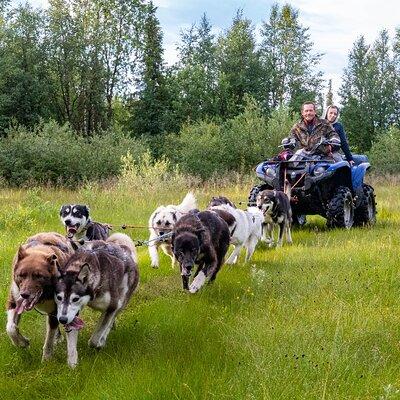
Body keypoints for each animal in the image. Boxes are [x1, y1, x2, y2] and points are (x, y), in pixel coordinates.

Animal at [5, 230, 74, 360]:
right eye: (21, 275)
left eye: (39, 276)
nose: (24, 295)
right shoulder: (14, 300)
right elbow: (11, 328)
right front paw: (22, 342)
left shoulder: (54, 310)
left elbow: (49, 338)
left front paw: (47, 358)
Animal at [54, 233, 139, 368]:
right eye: (59, 297)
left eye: (75, 299)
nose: (62, 319)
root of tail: (124, 249)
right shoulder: (73, 315)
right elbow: (71, 343)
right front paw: (72, 364)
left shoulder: (112, 306)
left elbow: (94, 339)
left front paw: (98, 343)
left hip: (121, 303)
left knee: (110, 320)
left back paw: (103, 338)